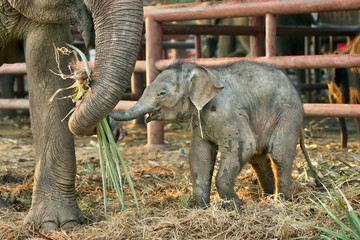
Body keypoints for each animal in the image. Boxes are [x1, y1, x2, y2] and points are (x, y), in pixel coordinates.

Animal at [112, 61, 318, 207]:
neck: (204, 72)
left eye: (162, 93)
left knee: (279, 154)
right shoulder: (200, 118)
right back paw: (266, 198)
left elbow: (244, 144)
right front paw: (201, 207)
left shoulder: (225, 113)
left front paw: (234, 205)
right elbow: (200, 153)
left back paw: (280, 202)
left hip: (287, 115)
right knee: (258, 158)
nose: (115, 127)